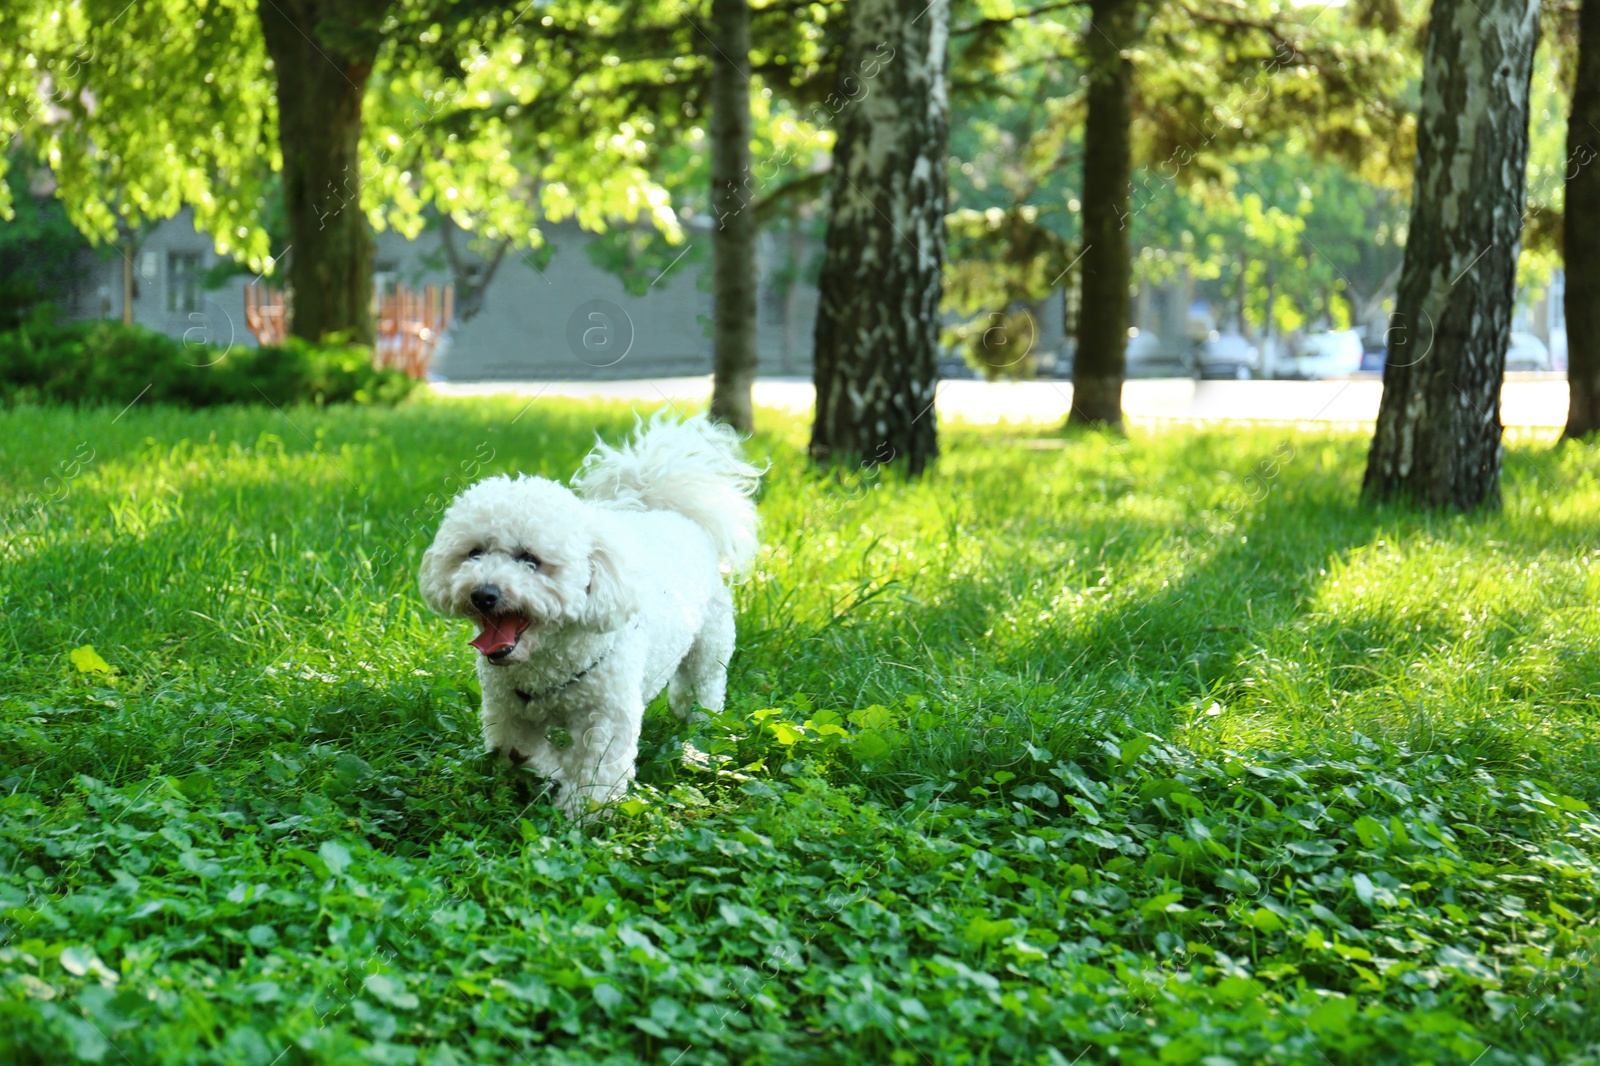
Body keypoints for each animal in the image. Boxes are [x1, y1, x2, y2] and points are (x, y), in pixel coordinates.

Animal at [416, 409, 758, 816]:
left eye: (530, 559)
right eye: (474, 553)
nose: (484, 593)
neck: (545, 665)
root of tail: (672, 511)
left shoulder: (606, 718)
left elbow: (595, 773)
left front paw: (580, 812)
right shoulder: (507, 712)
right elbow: (522, 751)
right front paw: (555, 771)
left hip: (711, 647)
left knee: (706, 688)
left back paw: (700, 734)